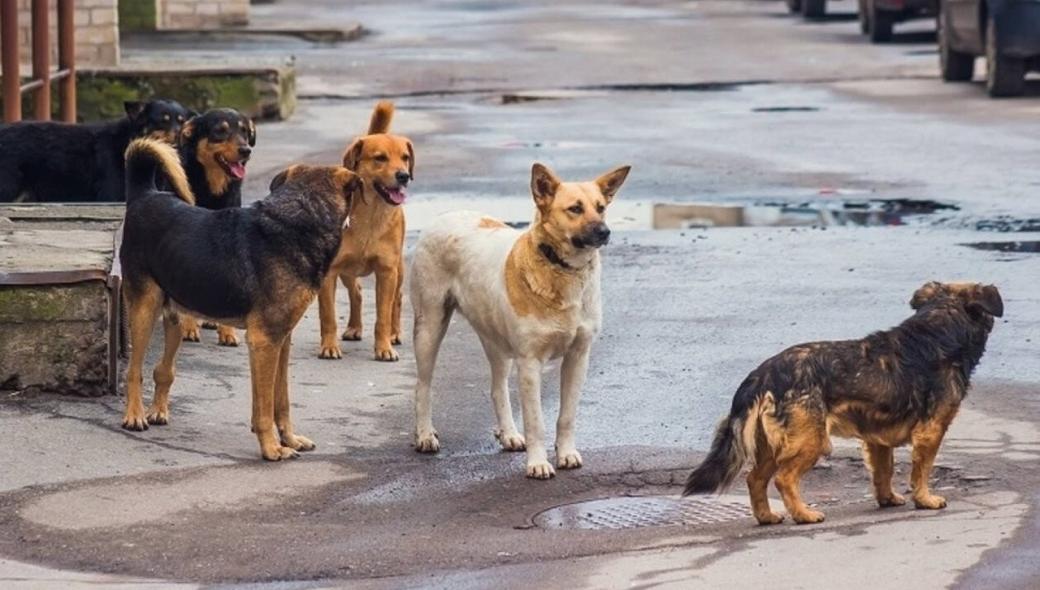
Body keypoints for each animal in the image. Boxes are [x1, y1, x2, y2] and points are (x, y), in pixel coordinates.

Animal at [119, 138, 357, 462]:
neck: (301, 216)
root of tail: (145, 194)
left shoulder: (282, 341)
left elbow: (281, 400)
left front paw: (290, 439)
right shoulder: (264, 342)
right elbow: (264, 408)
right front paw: (271, 448)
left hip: (175, 316)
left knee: (163, 369)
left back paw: (157, 410)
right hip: (144, 309)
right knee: (134, 371)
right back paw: (134, 415)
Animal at [316, 100, 413, 360]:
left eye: (405, 157)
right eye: (380, 158)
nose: (404, 176)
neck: (371, 215)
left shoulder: (387, 271)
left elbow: (383, 316)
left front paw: (384, 348)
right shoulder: (329, 273)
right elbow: (328, 316)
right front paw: (329, 346)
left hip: (398, 269)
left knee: (397, 299)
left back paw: (394, 333)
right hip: (347, 271)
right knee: (357, 292)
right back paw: (354, 327)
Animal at [409, 161, 628, 480]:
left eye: (601, 208)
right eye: (575, 209)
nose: (605, 231)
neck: (561, 270)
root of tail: (445, 215)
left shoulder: (578, 357)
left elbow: (567, 416)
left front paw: (566, 453)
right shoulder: (530, 363)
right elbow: (536, 421)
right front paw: (538, 463)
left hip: (495, 341)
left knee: (497, 388)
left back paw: (509, 434)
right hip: (429, 328)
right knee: (423, 386)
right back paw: (425, 435)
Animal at [686, 283, 1002, 526]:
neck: (939, 327)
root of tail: (762, 374)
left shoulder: (877, 439)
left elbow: (883, 471)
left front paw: (887, 499)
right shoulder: (931, 431)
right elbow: (921, 470)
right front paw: (925, 499)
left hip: (771, 445)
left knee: (754, 479)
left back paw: (767, 517)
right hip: (812, 441)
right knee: (784, 479)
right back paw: (803, 515)